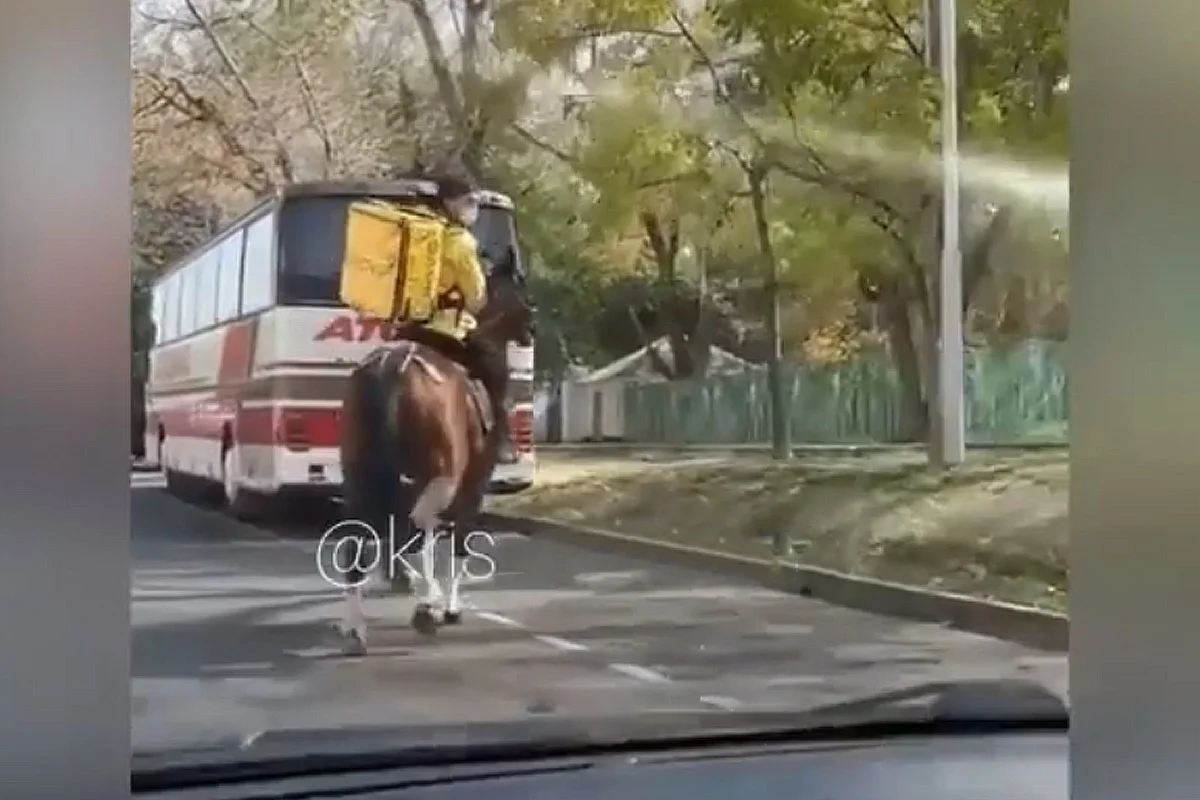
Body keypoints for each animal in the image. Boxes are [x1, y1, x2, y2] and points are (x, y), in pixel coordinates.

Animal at [333, 266, 530, 652]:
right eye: (522, 286)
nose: (532, 330)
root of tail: (391, 369)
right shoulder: (473, 486)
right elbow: (458, 542)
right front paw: (448, 606)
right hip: (441, 474)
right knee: (421, 523)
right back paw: (426, 607)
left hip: (361, 476)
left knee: (360, 536)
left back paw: (357, 627)